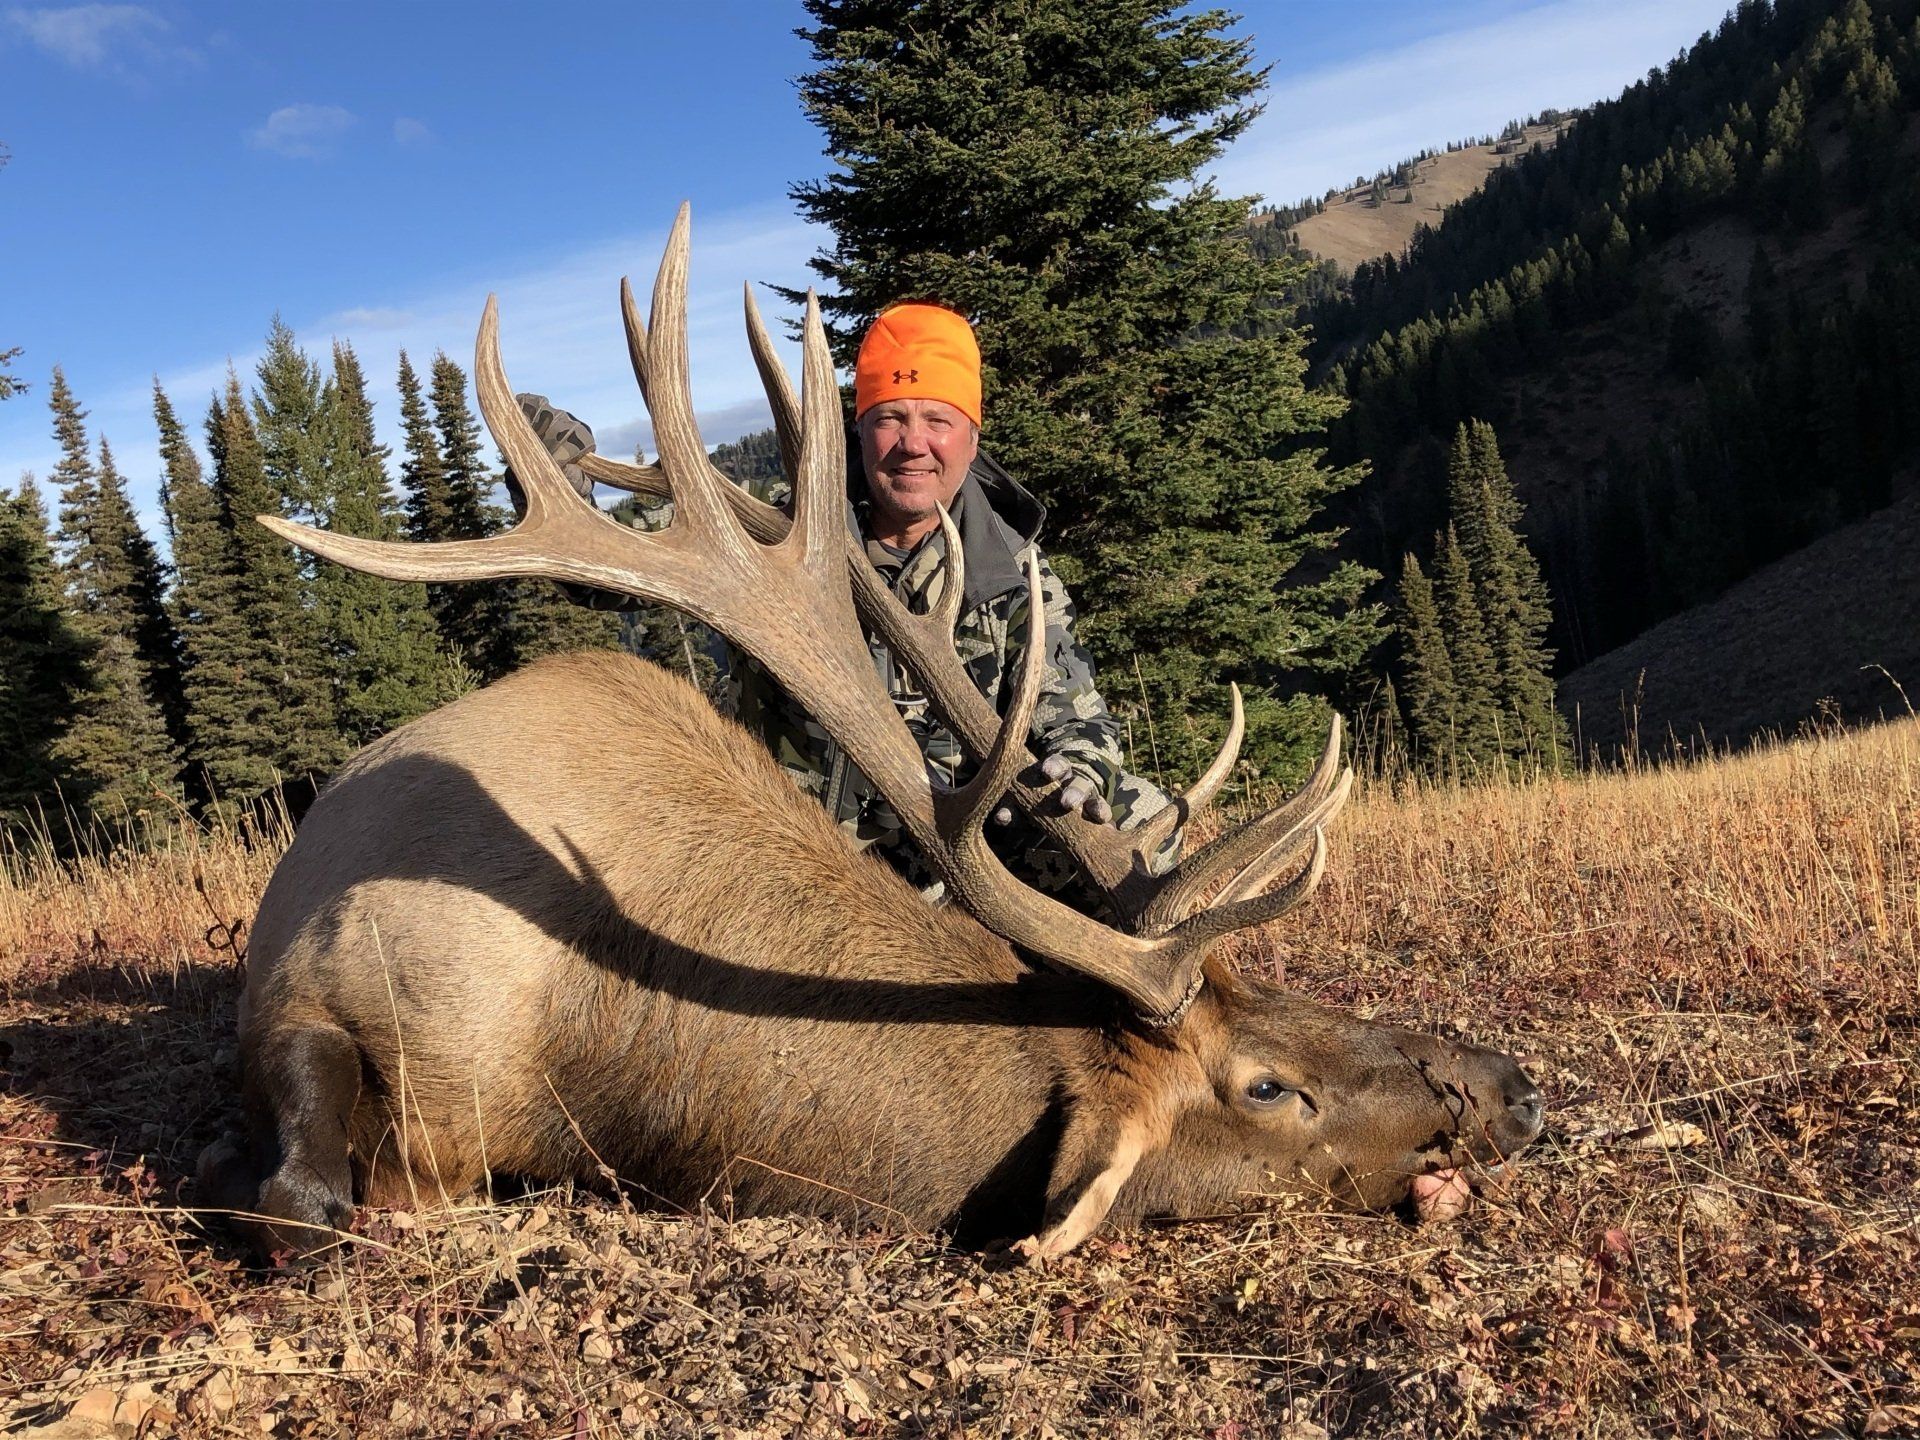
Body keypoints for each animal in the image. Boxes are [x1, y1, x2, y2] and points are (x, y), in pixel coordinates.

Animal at [196, 207, 1544, 1261]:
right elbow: (302, 1203)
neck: (599, 1050)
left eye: (1279, 986)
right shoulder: (312, 996)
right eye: (1269, 1085)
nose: (1513, 1086)